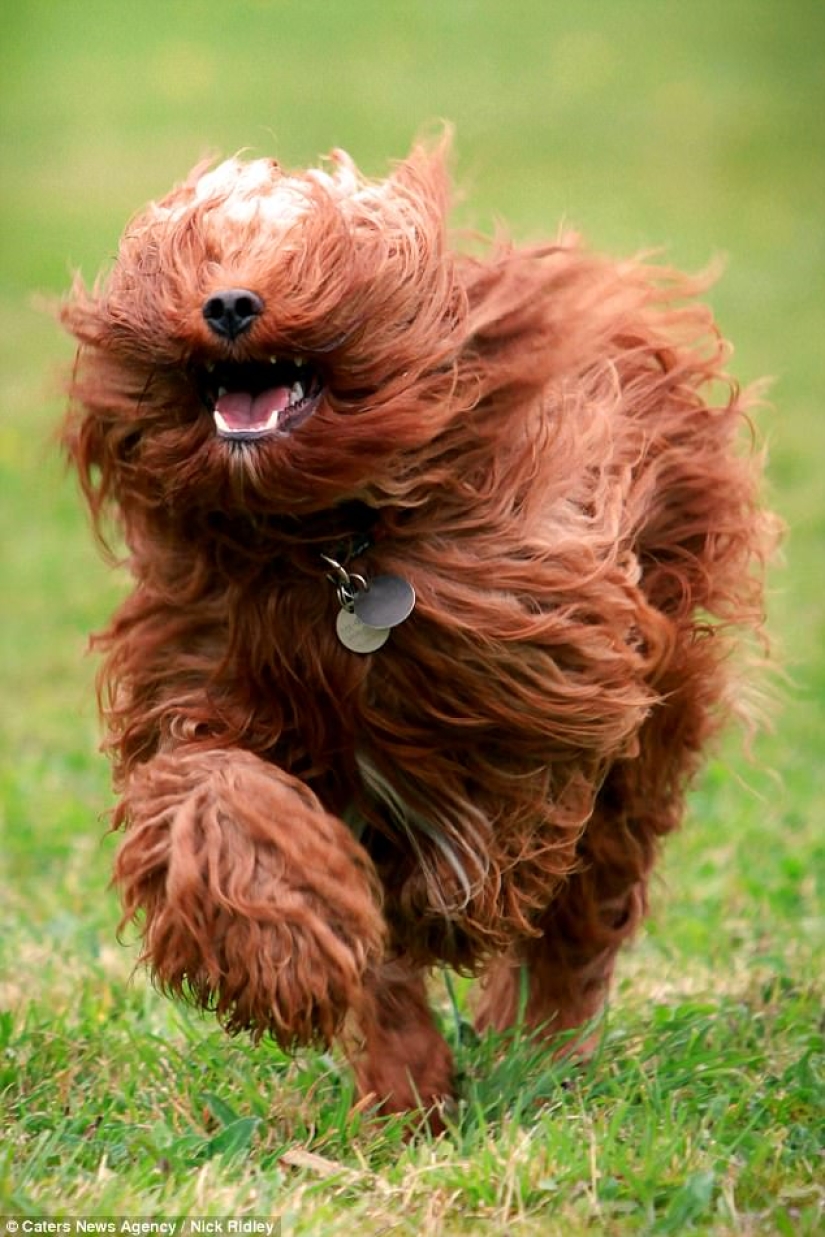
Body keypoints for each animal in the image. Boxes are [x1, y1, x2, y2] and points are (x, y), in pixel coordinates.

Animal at [59, 135, 776, 1133]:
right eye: (205, 255)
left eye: (299, 257)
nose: (229, 303)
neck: (325, 545)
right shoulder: (211, 679)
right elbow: (222, 799)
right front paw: (289, 963)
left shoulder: (538, 657)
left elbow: (487, 830)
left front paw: (446, 916)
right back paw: (415, 1083)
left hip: (648, 729)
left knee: (585, 907)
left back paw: (539, 1044)